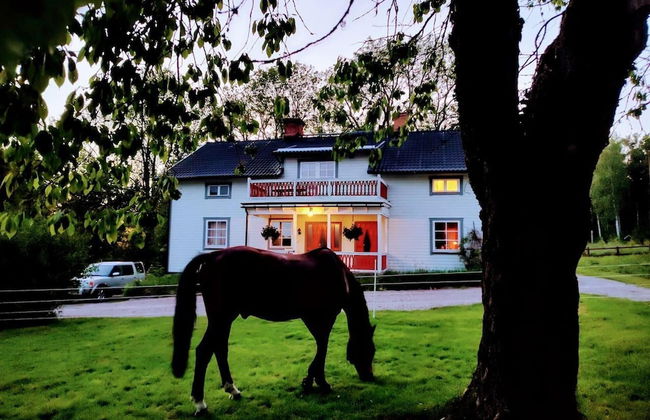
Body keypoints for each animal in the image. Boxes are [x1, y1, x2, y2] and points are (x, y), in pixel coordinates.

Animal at [171, 246, 376, 415]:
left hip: (224, 319)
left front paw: (312, 380)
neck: (337, 275)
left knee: (219, 349)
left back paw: (233, 390)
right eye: (370, 350)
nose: (369, 376)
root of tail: (212, 256)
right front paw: (319, 382)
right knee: (204, 351)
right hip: (221, 318)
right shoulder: (323, 318)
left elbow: (321, 347)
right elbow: (323, 348)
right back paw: (200, 403)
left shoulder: (314, 319)